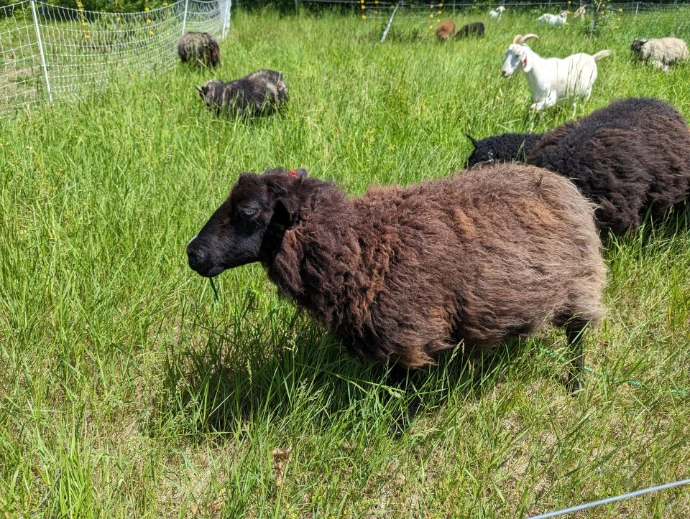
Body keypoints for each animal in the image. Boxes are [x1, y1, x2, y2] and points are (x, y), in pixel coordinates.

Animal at [187, 165, 606, 393]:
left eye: (247, 210)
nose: (193, 253)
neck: (362, 244)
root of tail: (563, 183)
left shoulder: (412, 331)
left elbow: (405, 394)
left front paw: (396, 432)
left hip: (580, 282)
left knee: (578, 335)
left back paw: (576, 384)